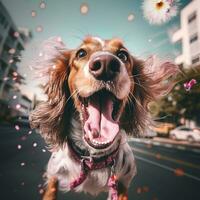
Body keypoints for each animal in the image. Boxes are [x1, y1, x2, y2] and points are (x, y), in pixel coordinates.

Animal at [29, 36, 177, 200]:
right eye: (81, 53)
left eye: (123, 55)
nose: (106, 64)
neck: (92, 161)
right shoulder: (53, 177)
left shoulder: (122, 184)